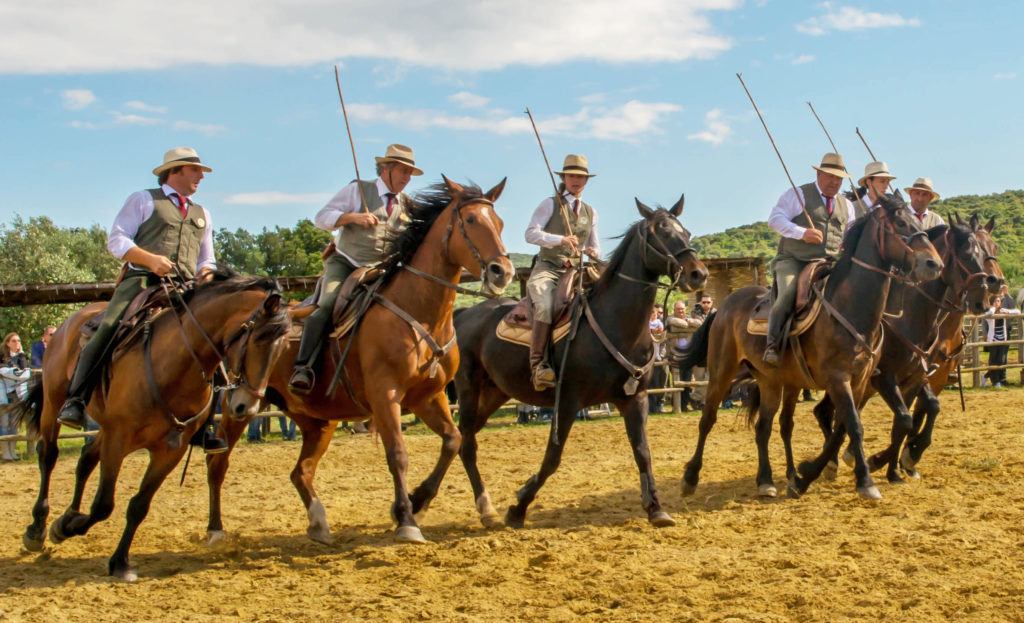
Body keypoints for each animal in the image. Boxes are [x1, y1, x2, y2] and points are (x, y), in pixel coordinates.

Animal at [11, 270, 292, 582]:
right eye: (259, 338)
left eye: (282, 347)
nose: (247, 407)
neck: (172, 365)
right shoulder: (118, 439)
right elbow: (103, 505)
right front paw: (69, 530)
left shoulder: (170, 450)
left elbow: (138, 506)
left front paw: (117, 559)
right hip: (53, 404)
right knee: (48, 456)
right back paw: (37, 528)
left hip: (103, 428)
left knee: (85, 460)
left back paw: (69, 515)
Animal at [205, 176, 512, 545]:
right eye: (470, 220)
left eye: (499, 223)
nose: (502, 272)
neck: (420, 315)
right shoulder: (386, 396)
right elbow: (398, 454)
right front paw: (406, 519)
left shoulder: (429, 396)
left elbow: (453, 440)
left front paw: (418, 501)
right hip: (240, 405)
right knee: (218, 464)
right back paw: (215, 530)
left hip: (317, 420)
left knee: (300, 472)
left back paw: (319, 524)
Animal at [440, 196, 712, 528]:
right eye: (661, 231)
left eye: (684, 231)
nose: (698, 274)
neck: (615, 322)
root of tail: (464, 315)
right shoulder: (568, 402)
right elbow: (552, 458)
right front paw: (519, 506)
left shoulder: (635, 399)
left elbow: (643, 452)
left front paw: (656, 508)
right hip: (469, 390)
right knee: (465, 442)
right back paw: (479, 508)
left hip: (494, 393)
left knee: (459, 439)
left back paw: (422, 499)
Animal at [679, 194, 942, 502]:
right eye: (901, 223)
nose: (934, 264)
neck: (849, 308)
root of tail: (723, 307)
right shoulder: (840, 380)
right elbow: (854, 425)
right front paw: (865, 480)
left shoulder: (861, 381)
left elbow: (844, 427)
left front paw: (806, 476)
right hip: (722, 372)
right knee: (708, 419)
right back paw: (690, 477)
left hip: (772, 381)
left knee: (767, 426)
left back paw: (768, 480)